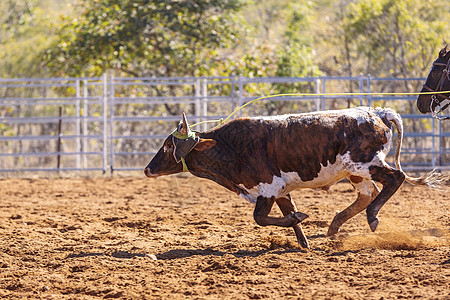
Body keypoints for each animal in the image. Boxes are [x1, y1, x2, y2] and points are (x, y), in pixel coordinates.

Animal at [145, 107, 446, 248]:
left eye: (168, 145)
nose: (148, 169)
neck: (231, 146)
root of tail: (378, 113)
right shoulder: (280, 190)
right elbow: (287, 213)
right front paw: (303, 240)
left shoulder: (268, 187)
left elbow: (260, 218)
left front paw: (299, 221)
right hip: (355, 172)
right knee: (366, 194)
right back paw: (335, 225)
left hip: (365, 164)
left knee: (394, 178)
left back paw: (371, 217)